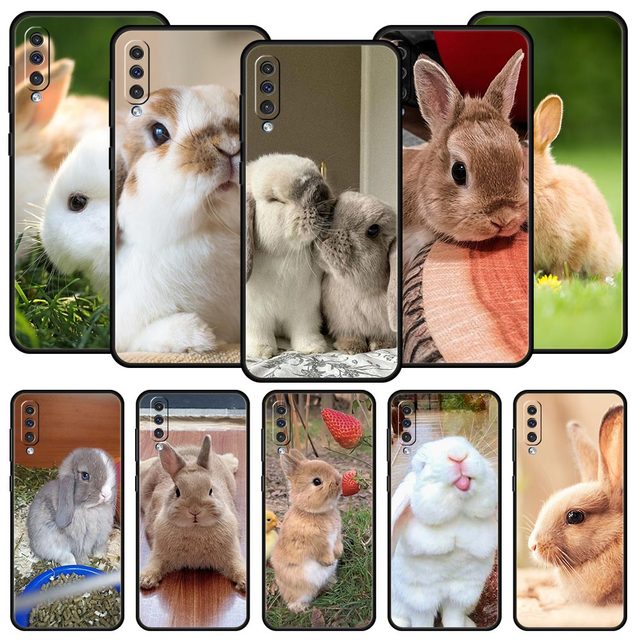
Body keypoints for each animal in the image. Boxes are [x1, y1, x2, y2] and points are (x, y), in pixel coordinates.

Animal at [139, 435, 246, 591]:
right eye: (177, 491)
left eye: (211, 490)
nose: (195, 511)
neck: (195, 529)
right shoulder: (158, 552)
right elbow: (155, 563)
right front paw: (146, 580)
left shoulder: (232, 552)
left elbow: (237, 565)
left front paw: (244, 580)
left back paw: (232, 459)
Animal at [245, 154, 334, 360]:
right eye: (275, 199)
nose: (321, 194)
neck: (283, 256)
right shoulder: (254, 314)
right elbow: (258, 332)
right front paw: (262, 351)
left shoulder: (306, 309)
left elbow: (305, 330)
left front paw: (314, 347)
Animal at [270, 449, 343, 612]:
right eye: (317, 481)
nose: (338, 481)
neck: (314, 512)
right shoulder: (315, 542)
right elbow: (322, 551)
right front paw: (329, 561)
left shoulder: (336, 535)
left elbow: (337, 544)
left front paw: (338, 554)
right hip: (298, 588)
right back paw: (300, 609)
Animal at [318, 190, 397, 354]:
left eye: (373, 230)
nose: (325, 234)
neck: (359, 290)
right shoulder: (344, 323)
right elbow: (351, 335)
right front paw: (351, 348)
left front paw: (380, 345)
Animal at [390, 437, 498, 628]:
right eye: (423, 465)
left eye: (470, 445)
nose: (458, 454)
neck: (456, 520)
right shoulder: (420, 599)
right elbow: (422, 623)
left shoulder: (461, 593)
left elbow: (453, 618)